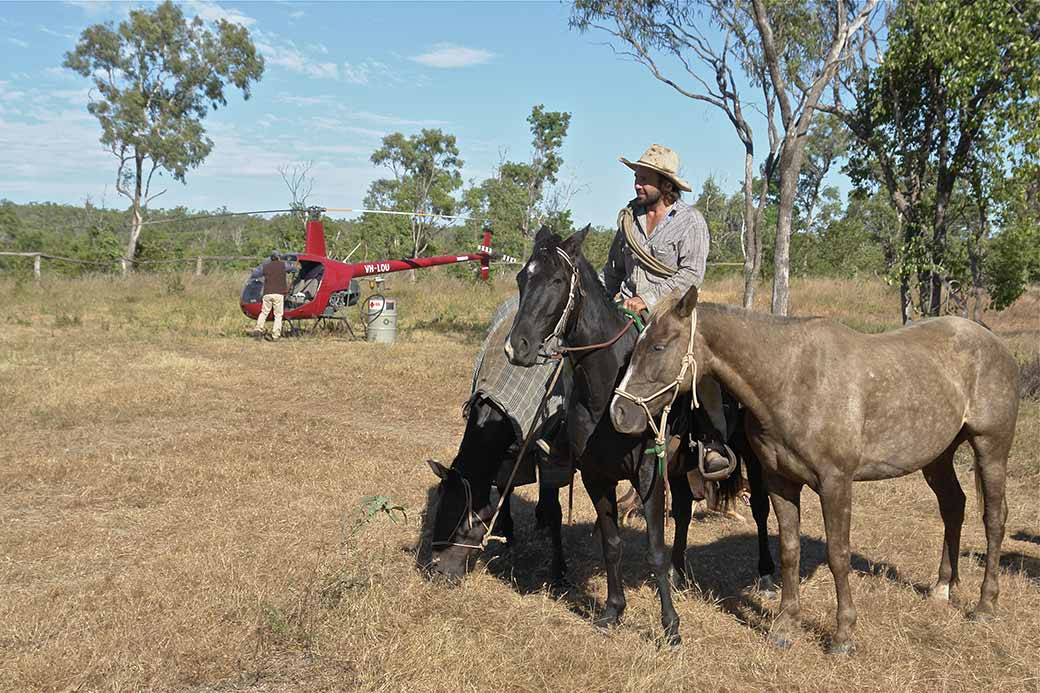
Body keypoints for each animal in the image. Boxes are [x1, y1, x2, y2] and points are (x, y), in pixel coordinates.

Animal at [507, 225, 777, 640]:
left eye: (556, 280)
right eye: (523, 277)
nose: (517, 347)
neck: (606, 388)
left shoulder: (648, 473)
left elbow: (654, 548)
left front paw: (670, 626)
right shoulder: (596, 476)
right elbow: (612, 543)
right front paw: (613, 610)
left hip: (750, 453)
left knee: (761, 509)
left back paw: (765, 577)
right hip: (680, 467)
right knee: (683, 511)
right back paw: (680, 574)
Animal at [611, 285, 1019, 653]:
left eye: (660, 346)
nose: (620, 412)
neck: (792, 379)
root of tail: (993, 342)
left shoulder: (836, 483)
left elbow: (838, 555)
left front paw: (842, 635)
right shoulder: (780, 482)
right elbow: (789, 550)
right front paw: (785, 625)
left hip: (991, 449)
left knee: (994, 519)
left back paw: (985, 605)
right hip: (938, 456)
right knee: (953, 506)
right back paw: (942, 589)